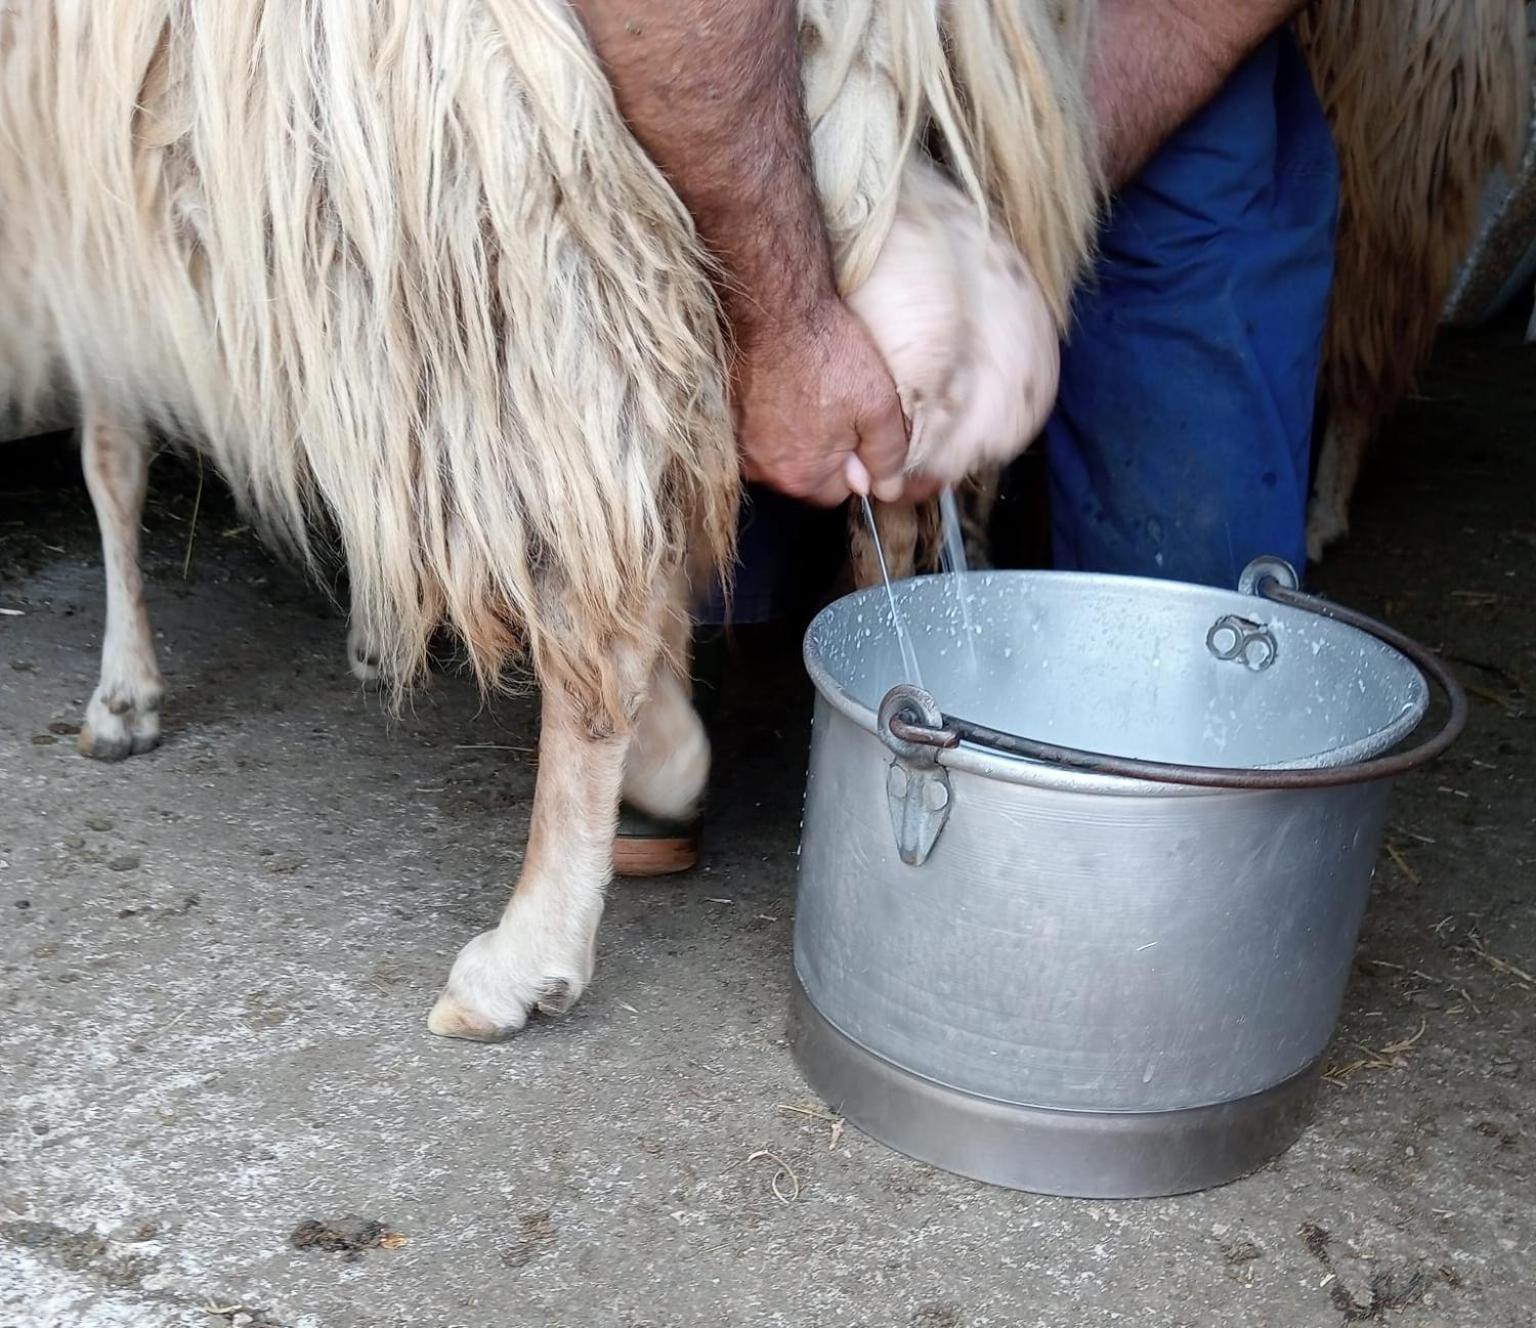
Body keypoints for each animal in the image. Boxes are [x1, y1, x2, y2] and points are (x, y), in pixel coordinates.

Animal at [3, 0, 1105, 1037]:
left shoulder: (90, 214)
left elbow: (110, 458)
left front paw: (123, 696)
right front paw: (358, 640)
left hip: (500, 215)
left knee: (598, 579)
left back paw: (535, 939)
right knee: (837, 498)